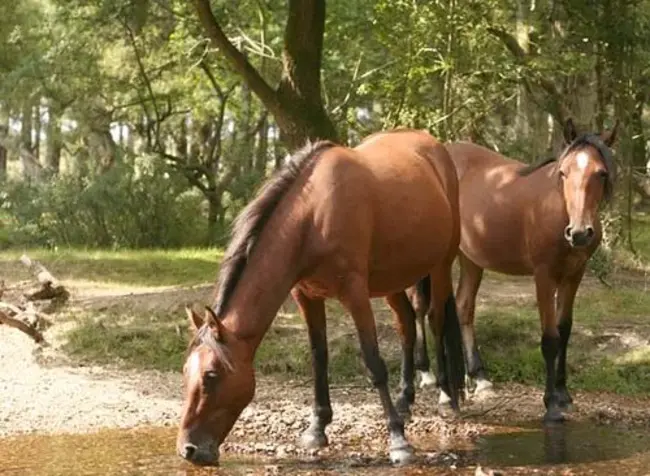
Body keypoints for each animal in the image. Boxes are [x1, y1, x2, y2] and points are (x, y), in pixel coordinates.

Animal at [175, 128, 464, 466]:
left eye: (211, 375)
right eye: (186, 372)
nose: (189, 450)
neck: (312, 217)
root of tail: (434, 146)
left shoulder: (355, 293)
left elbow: (374, 362)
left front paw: (398, 440)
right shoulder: (306, 295)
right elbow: (319, 357)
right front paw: (317, 428)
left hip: (441, 265)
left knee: (435, 320)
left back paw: (447, 397)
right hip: (393, 280)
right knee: (406, 323)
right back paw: (405, 400)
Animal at [408, 118, 616, 420]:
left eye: (600, 173)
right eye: (563, 173)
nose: (578, 233)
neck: (559, 210)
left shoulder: (574, 275)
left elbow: (564, 330)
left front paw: (564, 395)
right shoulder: (544, 276)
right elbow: (550, 338)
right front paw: (551, 404)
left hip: (471, 259)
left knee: (463, 307)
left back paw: (480, 378)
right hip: (438, 261)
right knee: (428, 310)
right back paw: (435, 384)